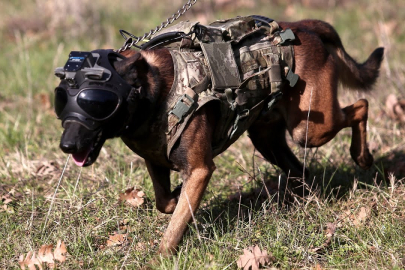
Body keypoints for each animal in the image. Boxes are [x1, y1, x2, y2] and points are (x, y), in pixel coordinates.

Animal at [56, 17, 382, 254]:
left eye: (96, 102)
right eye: (61, 101)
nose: (66, 145)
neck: (153, 92)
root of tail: (306, 26)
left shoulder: (200, 169)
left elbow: (174, 226)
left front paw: (162, 256)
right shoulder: (156, 162)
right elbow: (166, 203)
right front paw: (177, 196)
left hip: (310, 129)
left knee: (361, 106)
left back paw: (362, 156)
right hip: (267, 139)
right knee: (300, 169)